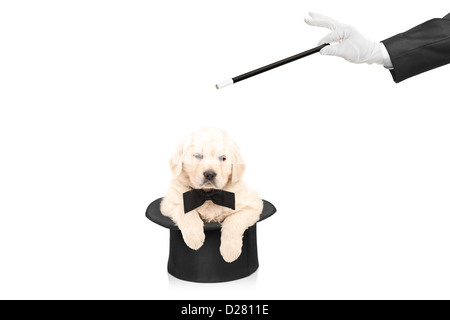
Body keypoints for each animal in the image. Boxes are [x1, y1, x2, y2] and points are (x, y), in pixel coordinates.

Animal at [161, 127, 264, 262]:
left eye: (223, 158)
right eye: (198, 155)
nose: (209, 174)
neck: (208, 195)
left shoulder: (252, 204)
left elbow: (234, 220)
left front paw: (230, 250)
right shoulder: (170, 201)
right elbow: (185, 211)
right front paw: (194, 237)